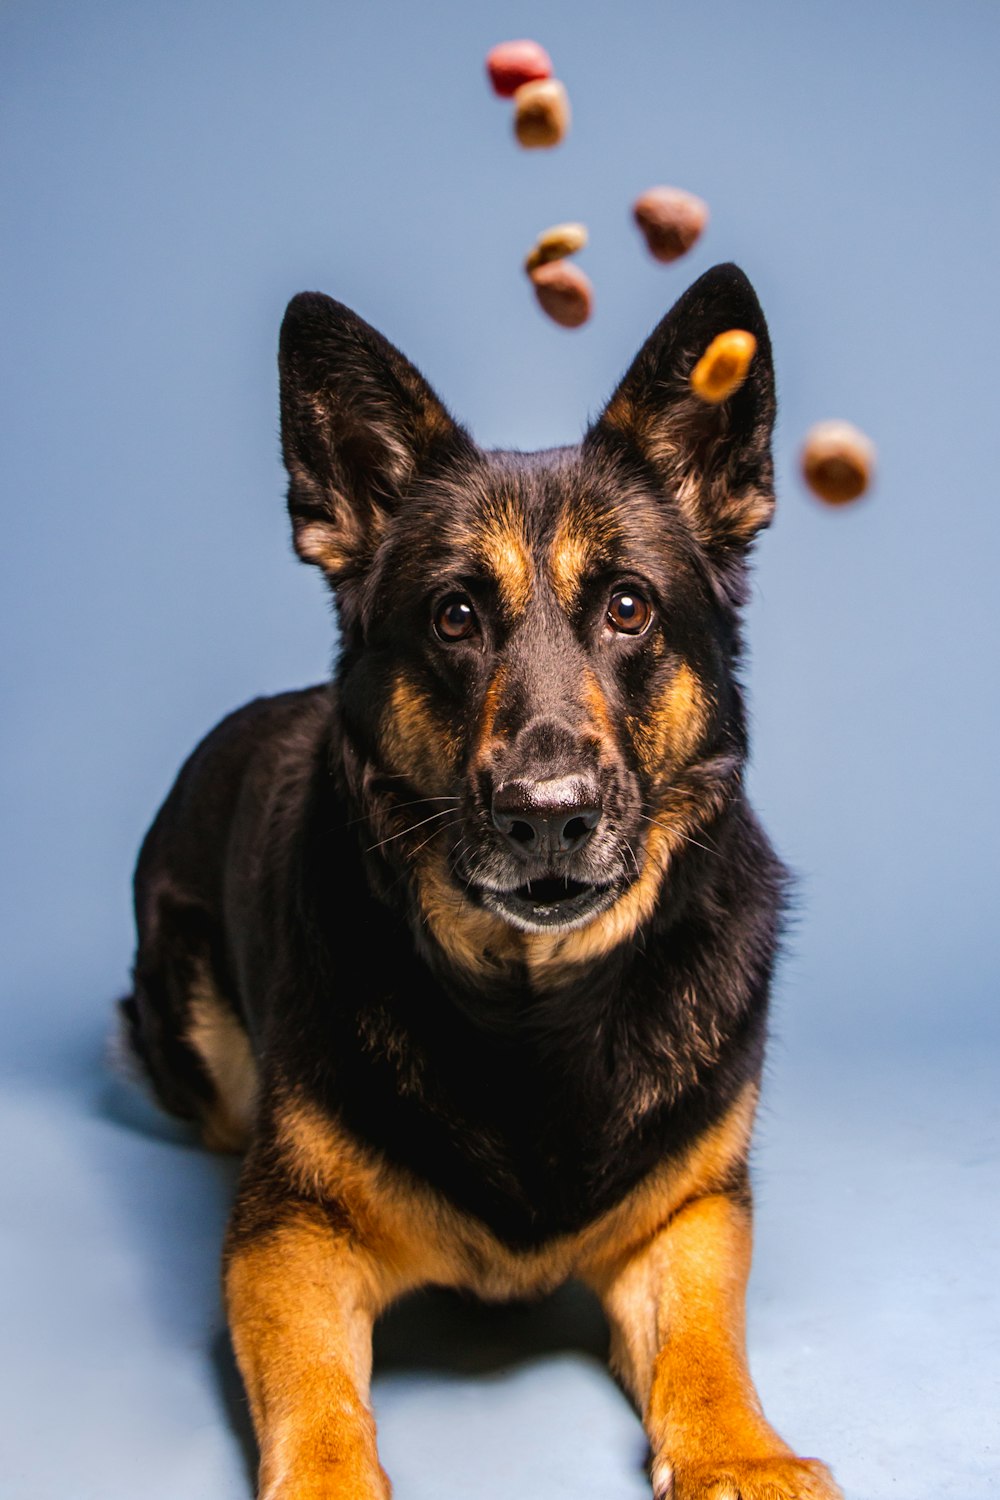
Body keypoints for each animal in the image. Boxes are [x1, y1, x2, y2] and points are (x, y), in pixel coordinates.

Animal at [122, 264, 845, 1494]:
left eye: (628, 608)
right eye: (455, 616)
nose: (546, 815)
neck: (533, 1011)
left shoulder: (693, 1216)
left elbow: (705, 1346)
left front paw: (743, 1454)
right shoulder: (288, 1238)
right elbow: (317, 1392)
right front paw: (329, 1479)